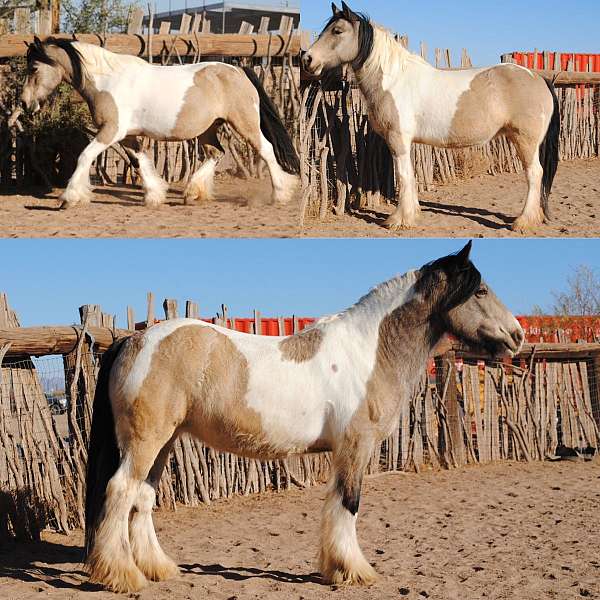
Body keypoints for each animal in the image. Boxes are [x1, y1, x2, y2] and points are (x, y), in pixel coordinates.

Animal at [21, 36, 300, 209]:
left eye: (33, 68)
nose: (24, 103)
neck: (108, 80)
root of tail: (239, 71)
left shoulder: (111, 131)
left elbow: (84, 156)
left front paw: (69, 199)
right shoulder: (127, 135)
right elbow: (140, 160)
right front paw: (155, 195)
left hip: (244, 123)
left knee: (266, 150)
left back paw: (280, 194)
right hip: (208, 129)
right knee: (216, 153)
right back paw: (192, 193)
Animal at [84, 241, 524, 592]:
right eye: (481, 290)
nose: (517, 335)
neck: (369, 351)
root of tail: (135, 340)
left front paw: (335, 568)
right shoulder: (356, 447)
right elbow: (349, 503)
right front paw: (354, 571)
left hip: (165, 442)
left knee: (142, 498)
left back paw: (158, 568)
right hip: (146, 442)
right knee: (121, 491)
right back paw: (122, 575)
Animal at [302, 1, 560, 232]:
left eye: (337, 31)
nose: (307, 59)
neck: (394, 80)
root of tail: (538, 78)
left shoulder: (398, 139)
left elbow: (403, 176)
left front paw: (399, 220)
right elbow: (410, 176)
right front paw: (412, 215)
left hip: (525, 141)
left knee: (535, 174)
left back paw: (523, 222)